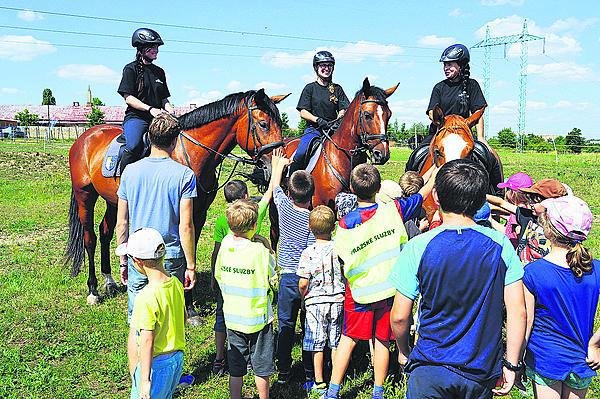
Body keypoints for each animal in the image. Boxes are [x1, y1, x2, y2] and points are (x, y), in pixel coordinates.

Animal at [67, 89, 290, 304]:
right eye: (263, 124)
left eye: (280, 124)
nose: (283, 167)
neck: (188, 154)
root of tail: (85, 137)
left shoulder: (198, 214)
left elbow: (190, 248)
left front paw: (188, 301)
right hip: (85, 196)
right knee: (90, 239)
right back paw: (93, 289)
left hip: (114, 202)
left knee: (105, 232)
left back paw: (109, 280)